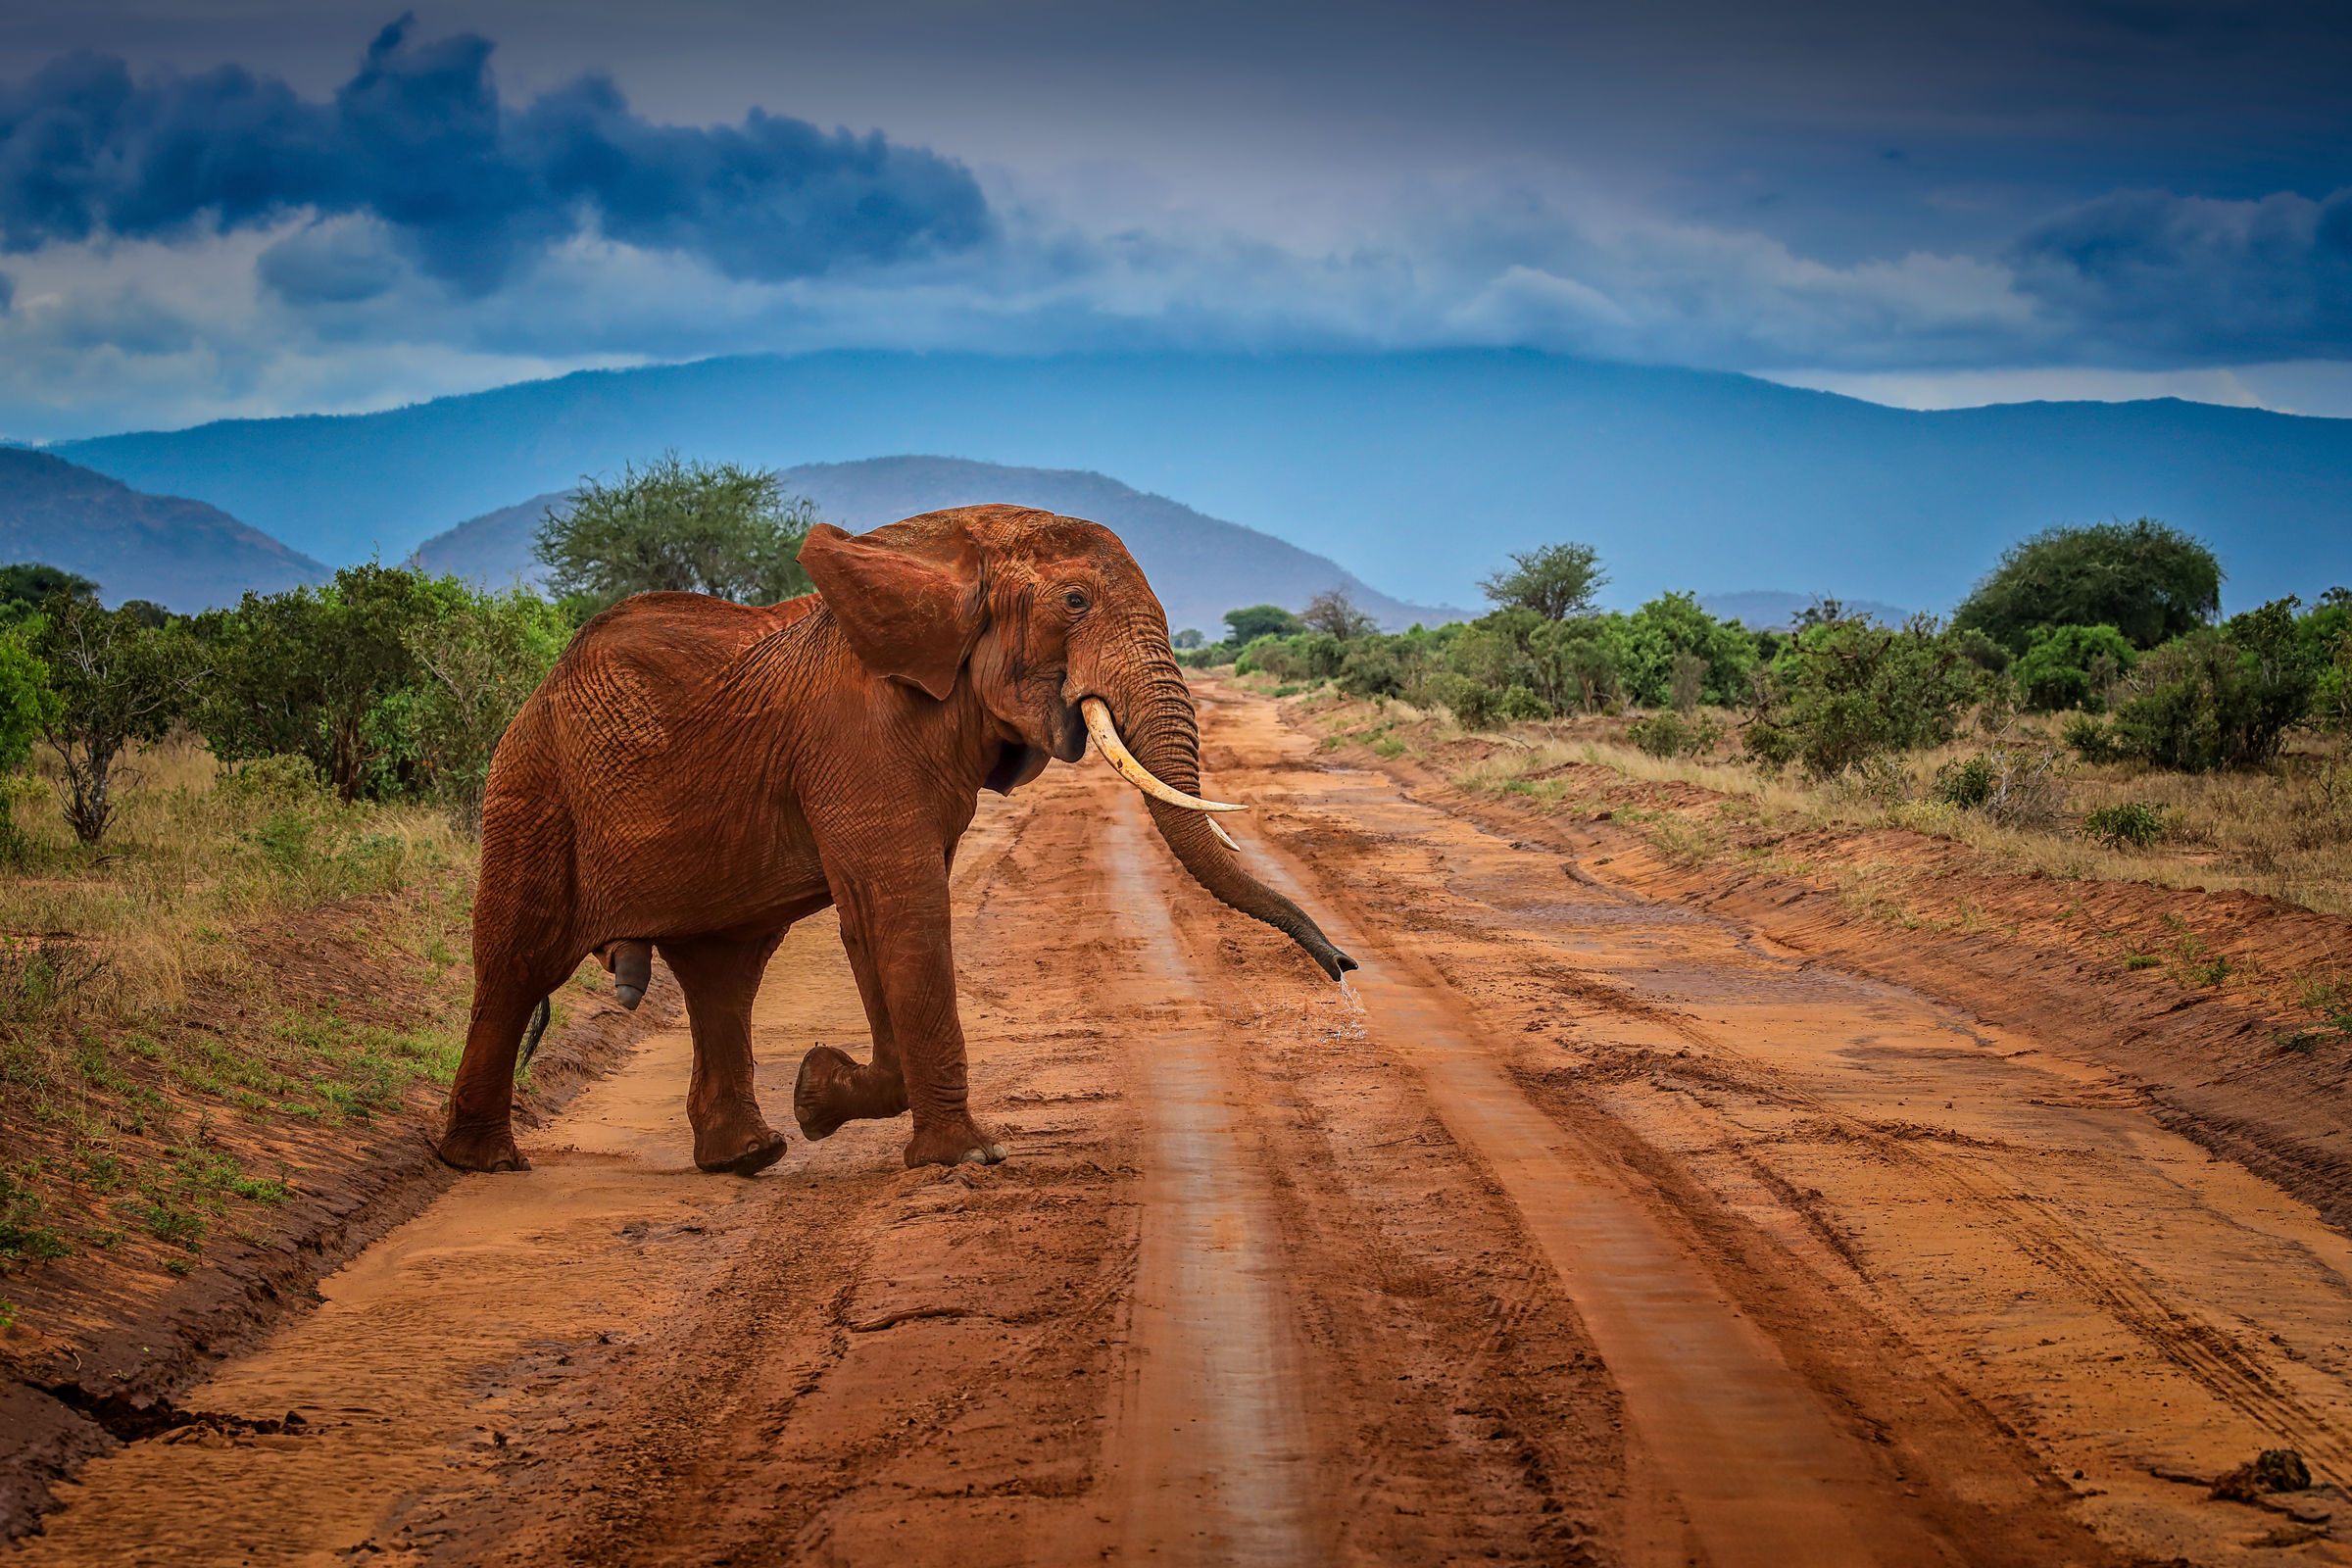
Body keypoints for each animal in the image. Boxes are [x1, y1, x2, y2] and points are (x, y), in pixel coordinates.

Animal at [436, 503, 1356, 1176]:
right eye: (1074, 603)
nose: (1345, 968)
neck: (959, 553)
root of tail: (538, 690)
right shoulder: (856, 739)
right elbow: (900, 907)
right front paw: (968, 1157)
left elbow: (879, 919)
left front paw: (819, 1095)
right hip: (531, 787)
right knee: (519, 960)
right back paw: (482, 1165)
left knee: (724, 970)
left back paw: (749, 1157)